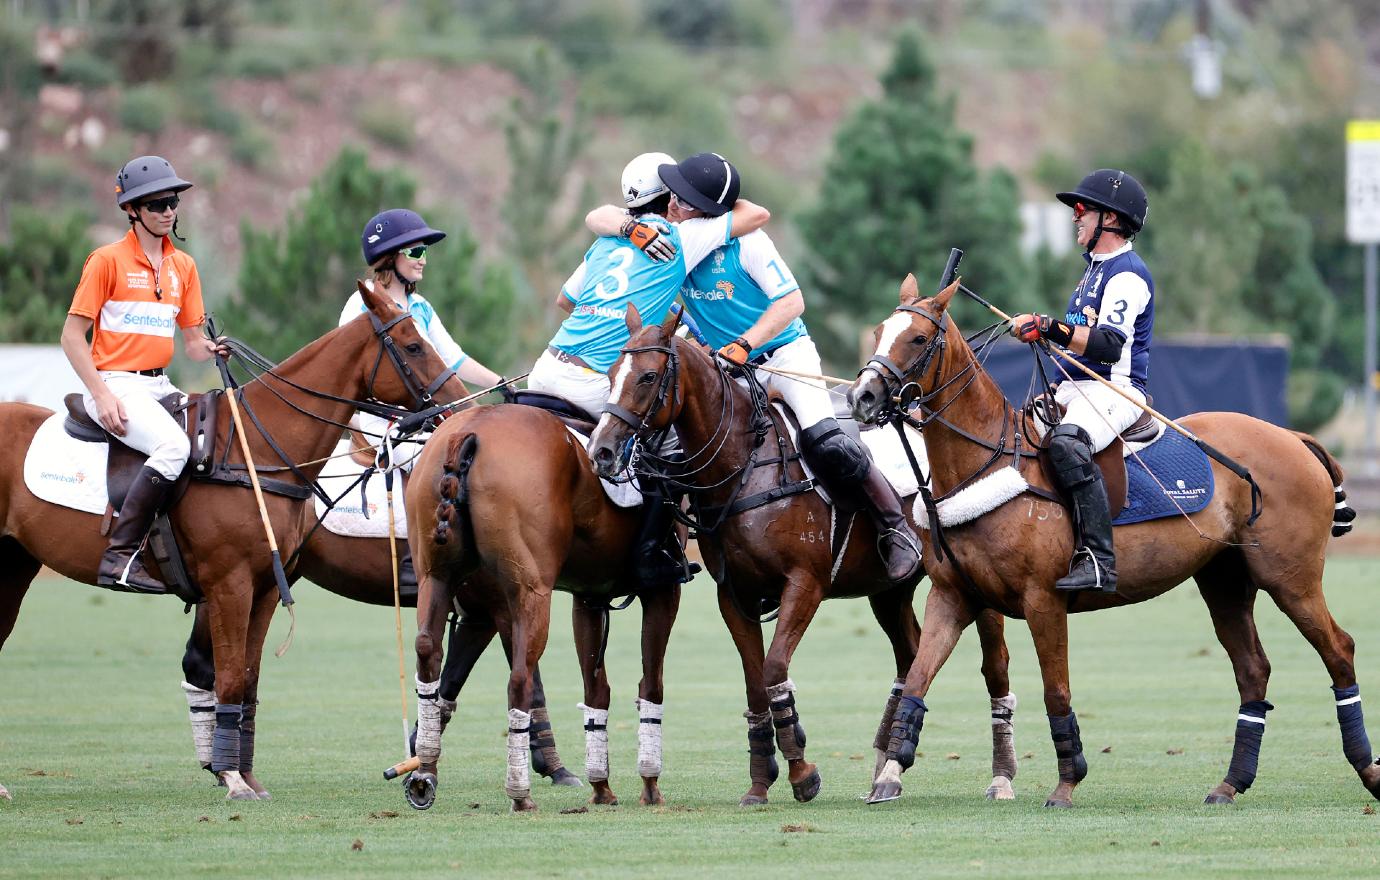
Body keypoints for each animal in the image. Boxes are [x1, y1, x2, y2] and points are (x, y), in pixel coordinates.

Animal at [0, 284, 463, 805]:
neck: (256, 451)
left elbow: (246, 680)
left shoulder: (264, 588)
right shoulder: (229, 585)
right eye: (413, 346)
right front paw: (234, 779)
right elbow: (227, 677)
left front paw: (244, 774)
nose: (456, 406)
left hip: (14, 564)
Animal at [402, 405, 676, 816]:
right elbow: (651, 683)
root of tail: (471, 429)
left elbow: (596, 688)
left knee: (428, 652)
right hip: (531, 591)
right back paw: (520, 793)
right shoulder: (663, 589)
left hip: (437, 577)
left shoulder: (588, 595)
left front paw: (601, 787)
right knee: (519, 678)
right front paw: (649, 784)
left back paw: (425, 773)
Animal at [587, 306, 1021, 811]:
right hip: (889, 590)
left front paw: (801, 772)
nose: (602, 452)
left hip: (972, 584)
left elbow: (775, 668)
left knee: (995, 665)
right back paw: (885, 767)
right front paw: (759, 783)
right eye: (610, 374)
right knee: (911, 655)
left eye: (648, 376)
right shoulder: (733, 595)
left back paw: (1000, 776)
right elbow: (756, 682)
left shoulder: (805, 583)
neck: (744, 464)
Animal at [844, 274, 1374, 805]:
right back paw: (1230, 783)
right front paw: (890, 774)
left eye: (917, 338)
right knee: (1253, 669)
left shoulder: (1042, 599)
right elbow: (918, 677)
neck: (986, 461)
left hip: (1290, 576)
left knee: (1340, 649)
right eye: (878, 332)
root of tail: (1294, 438)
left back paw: (1367, 768)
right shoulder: (953, 596)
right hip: (1224, 579)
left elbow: (1056, 690)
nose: (862, 398)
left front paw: (1066, 782)